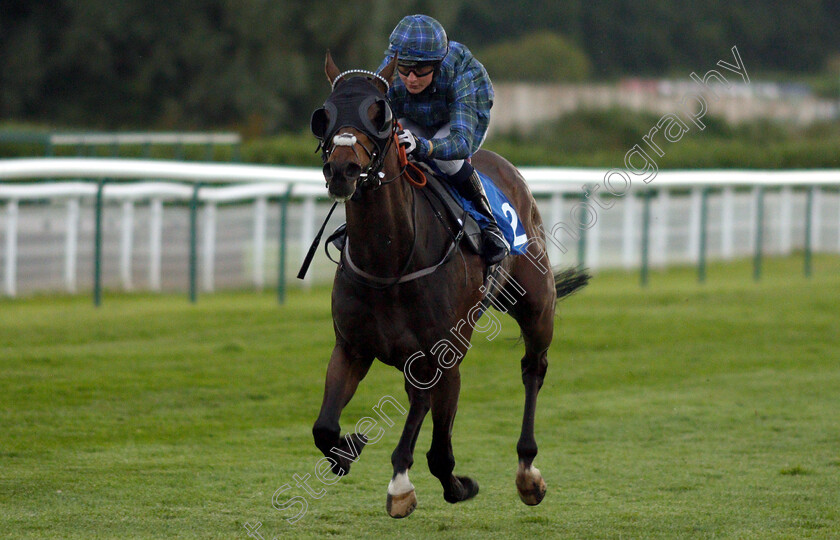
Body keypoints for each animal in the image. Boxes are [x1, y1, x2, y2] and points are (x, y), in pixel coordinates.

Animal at [308, 53, 592, 520]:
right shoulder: (351, 347)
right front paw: (351, 449)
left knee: (533, 369)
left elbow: (432, 445)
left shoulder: (443, 356)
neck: (391, 261)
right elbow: (325, 428)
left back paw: (527, 471)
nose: (342, 169)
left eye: (381, 115)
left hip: (537, 306)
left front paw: (415, 486)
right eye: (324, 114)